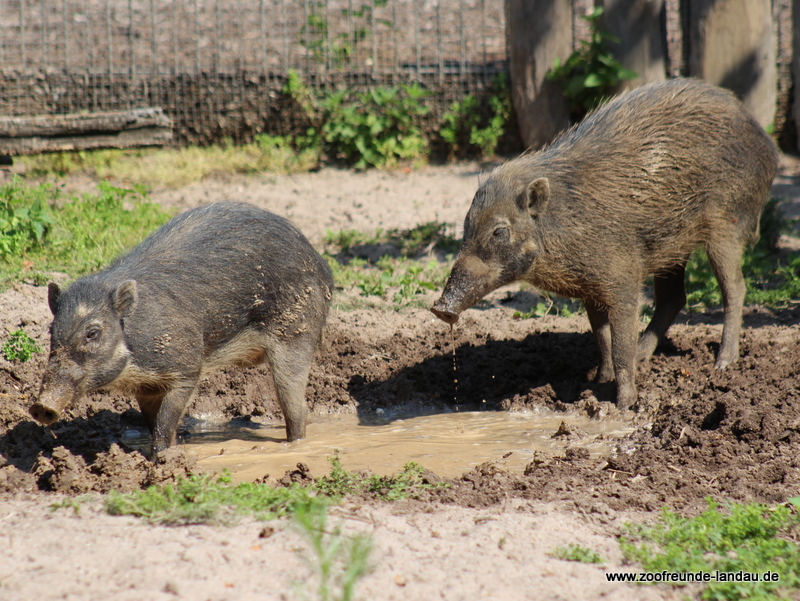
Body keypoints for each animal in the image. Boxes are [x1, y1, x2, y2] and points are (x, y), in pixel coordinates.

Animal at [31, 203, 332, 460]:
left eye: (93, 333)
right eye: (51, 331)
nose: (41, 406)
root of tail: (320, 262)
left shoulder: (186, 369)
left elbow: (165, 423)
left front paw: (160, 461)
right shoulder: (146, 388)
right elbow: (155, 424)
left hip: (296, 333)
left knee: (297, 407)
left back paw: (294, 445)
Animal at [434, 77, 780, 410]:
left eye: (498, 231)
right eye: (466, 225)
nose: (441, 309)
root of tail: (765, 140)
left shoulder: (622, 278)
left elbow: (620, 342)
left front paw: (623, 405)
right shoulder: (591, 289)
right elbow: (601, 338)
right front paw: (599, 381)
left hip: (727, 224)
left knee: (735, 288)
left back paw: (723, 364)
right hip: (672, 248)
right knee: (674, 298)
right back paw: (646, 356)